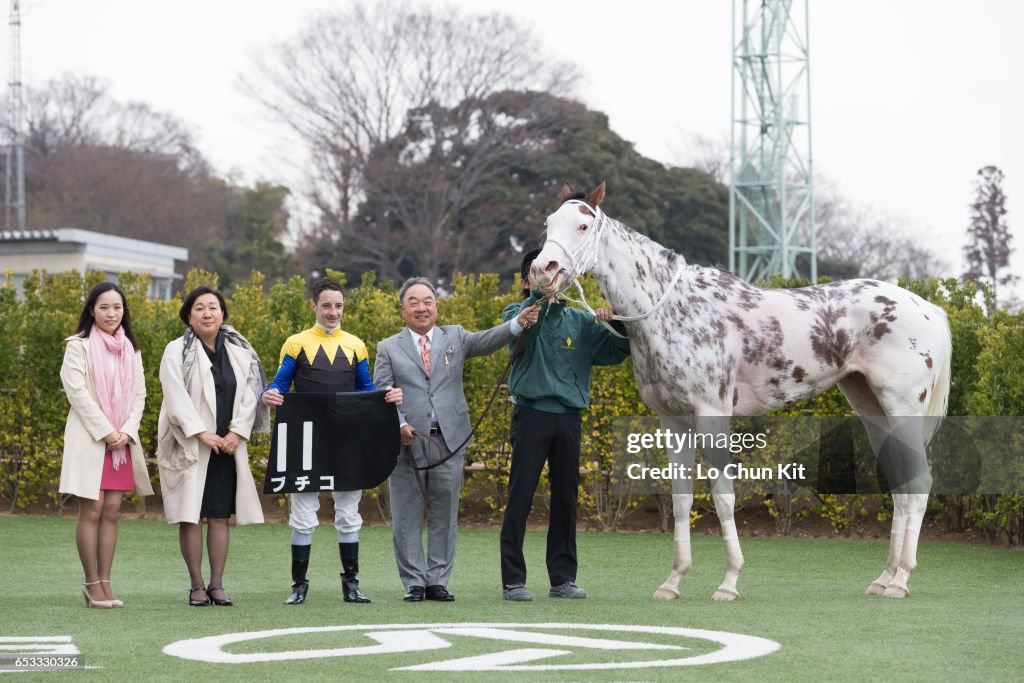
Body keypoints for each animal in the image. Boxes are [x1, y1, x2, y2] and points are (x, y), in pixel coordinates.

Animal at [536, 183, 950, 602]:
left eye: (583, 225)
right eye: (549, 223)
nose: (542, 270)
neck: (675, 310)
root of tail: (928, 309)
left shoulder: (711, 415)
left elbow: (723, 497)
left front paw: (729, 582)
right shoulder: (673, 421)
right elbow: (681, 499)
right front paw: (672, 582)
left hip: (902, 408)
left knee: (919, 484)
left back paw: (900, 580)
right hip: (872, 410)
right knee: (900, 486)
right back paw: (885, 577)